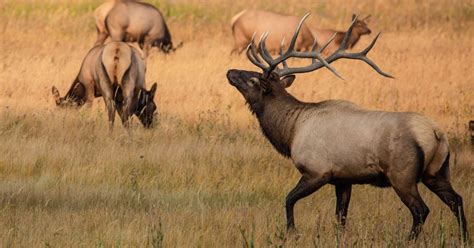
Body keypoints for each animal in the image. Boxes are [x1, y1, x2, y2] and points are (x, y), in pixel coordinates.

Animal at [226, 12, 466, 241]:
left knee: (421, 210)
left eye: (253, 80)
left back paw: (409, 239)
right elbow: (341, 216)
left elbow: (289, 200)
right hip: (437, 172)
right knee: (456, 200)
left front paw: (291, 232)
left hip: (402, 175)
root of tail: (437, 134)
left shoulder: (317, 171)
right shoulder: (343, 179)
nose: (230, 72)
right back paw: (463, 236)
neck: (291, 132)